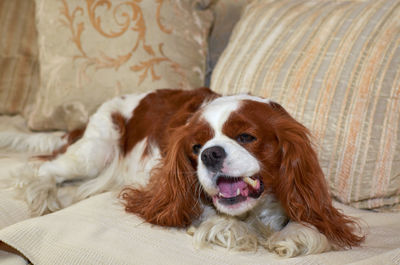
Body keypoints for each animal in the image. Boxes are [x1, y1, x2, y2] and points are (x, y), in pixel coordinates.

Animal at [0, 87, 364, 256]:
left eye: (246, 137)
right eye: (195, 147)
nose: (210, 154)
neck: (257, 211)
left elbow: (312, 226)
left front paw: (293, 236)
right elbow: (219, 221)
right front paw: (242, 232)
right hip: (94, 150)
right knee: (43, 170)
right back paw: (43, 194)